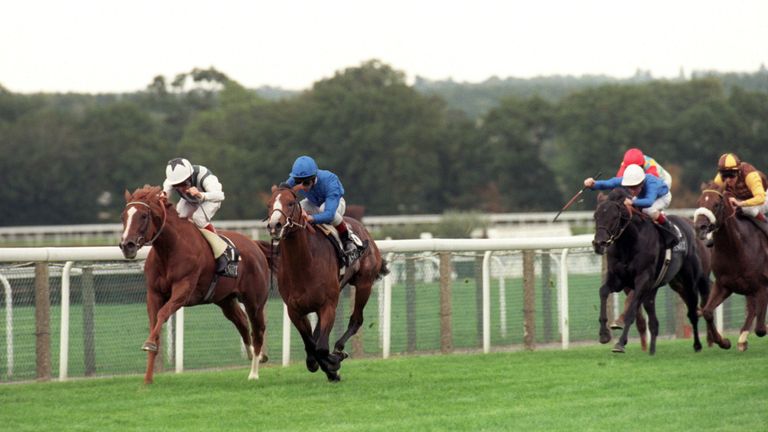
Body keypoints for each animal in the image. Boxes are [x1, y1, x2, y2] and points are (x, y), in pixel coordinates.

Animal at [118, 184, 272, 384]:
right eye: (123, 216)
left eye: (144, 215)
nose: (126, 245)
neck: (170, 249)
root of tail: (255, 245)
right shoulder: (153, 293)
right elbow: (155, 323)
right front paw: (147, 379)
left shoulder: (183, 290)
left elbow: (163, 314)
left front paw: (149, 344)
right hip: (225, 299)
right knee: (242, 322)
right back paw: (253, 354)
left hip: (255, 301)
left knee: (258, 330)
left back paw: (254, 372)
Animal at [266, 186, 388, 382]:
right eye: (269, 204)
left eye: (291, 203)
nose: (274, 225)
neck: (304, 264)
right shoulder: (295, 310)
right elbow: (311, 345)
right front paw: (325, 365)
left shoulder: (328, 305)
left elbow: (321, 348)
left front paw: (334, 364)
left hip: (364, 284)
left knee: (356, 319)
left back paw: (338, 349)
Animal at [592, 189, 712, 354]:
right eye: (596, 216)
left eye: (614, 216)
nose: (599, 243)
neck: (629, 243)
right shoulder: (618, 278)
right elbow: (603, 291)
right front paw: (604, 334)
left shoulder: (643, 279)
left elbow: (631, 310)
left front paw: (620, 343)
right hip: (665, 286)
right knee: (654, 321)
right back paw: (652, 350)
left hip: (690, 282)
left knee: (694, 311)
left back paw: (699, 344)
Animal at [688, 182, 768, 352]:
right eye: (699, 202)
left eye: (716, 204)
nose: (700, 227)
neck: (735, 248)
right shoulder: (723, 285)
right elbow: (707, 312)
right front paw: (723, 342)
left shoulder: (762, 286)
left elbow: (760, 329)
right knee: (751, 308)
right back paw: (742, 340)